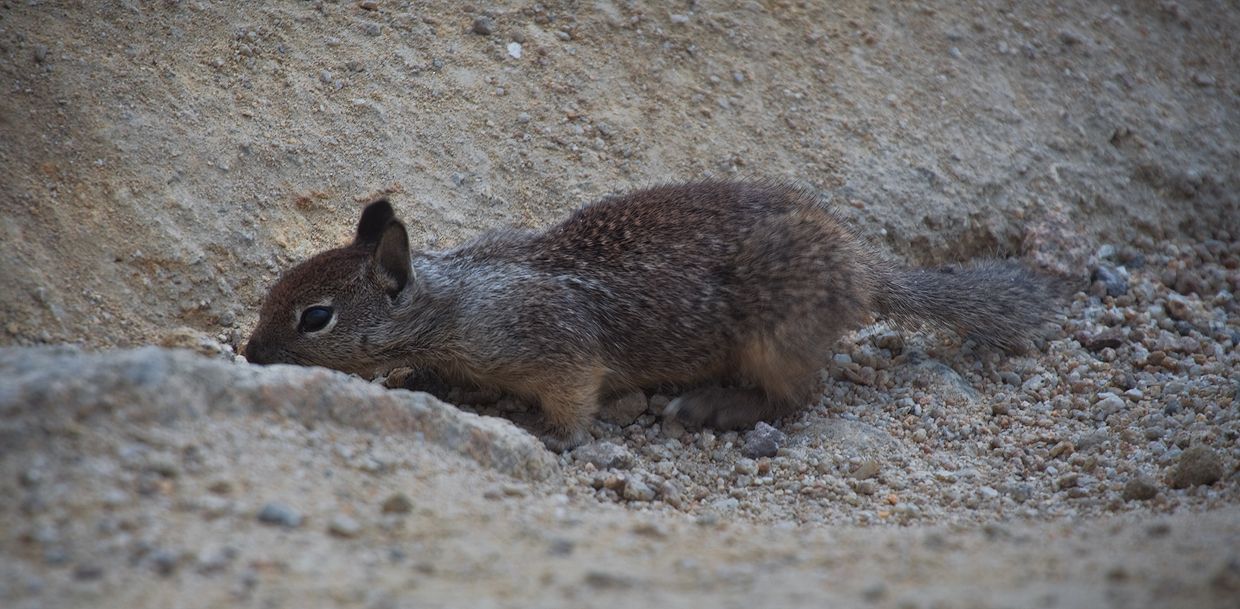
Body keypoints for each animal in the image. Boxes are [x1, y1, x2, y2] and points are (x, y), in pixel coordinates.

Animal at [246, 178, 1051, 451]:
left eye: (315, 318)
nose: (251, 356)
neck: (458, 299)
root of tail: (863, 269)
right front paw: (420, 382)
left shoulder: (557, 351)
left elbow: (574, 403)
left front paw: (549, 435)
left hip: (777, 340)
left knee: (797, 399)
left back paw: (713, 406)